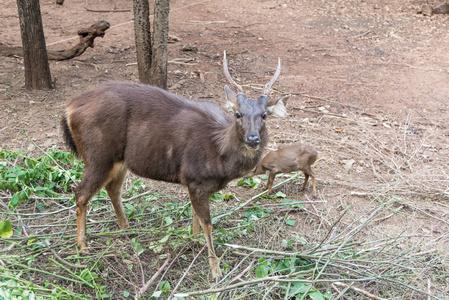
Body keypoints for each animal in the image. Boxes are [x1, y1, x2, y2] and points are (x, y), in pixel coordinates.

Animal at [60, 50, 282, 278]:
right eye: (238, 114)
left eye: (264, 115)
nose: (252, 138)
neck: (218, 154)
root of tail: (69, 109)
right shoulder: (195, 177)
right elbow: (208, 224)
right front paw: (215, 269)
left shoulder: (194, 183)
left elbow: (195, 216)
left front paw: (193, 239)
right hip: (99, 155)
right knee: (81, 193)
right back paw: (83, 245)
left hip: (119, 160)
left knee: (112, 188)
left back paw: (127, 228)